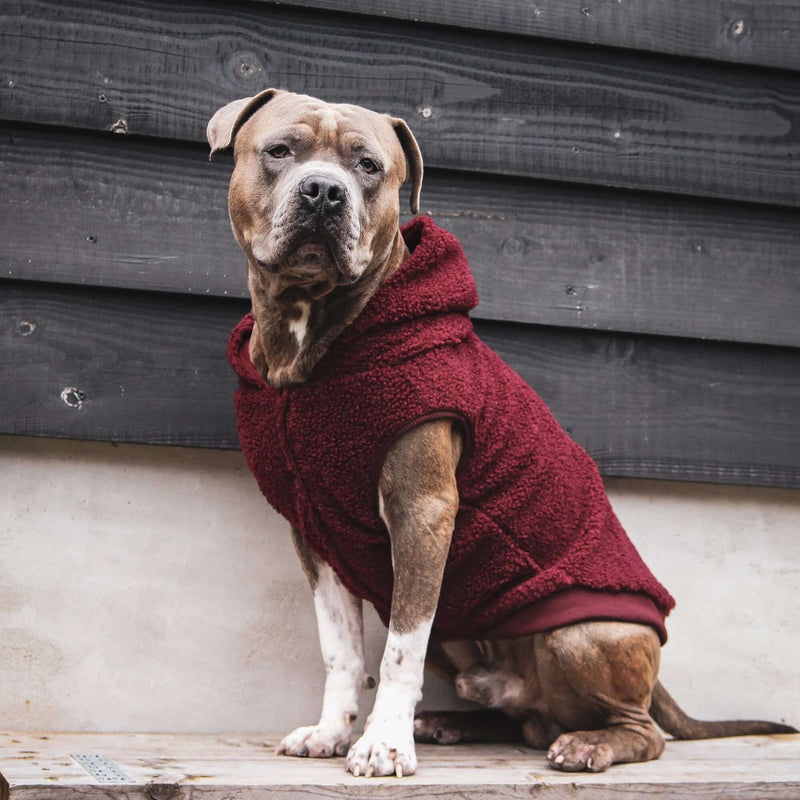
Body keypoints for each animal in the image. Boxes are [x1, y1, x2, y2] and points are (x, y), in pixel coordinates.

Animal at [206, 90, 792, 780]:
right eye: (279, 151)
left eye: (368, 166)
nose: (324, 191)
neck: (311, 335)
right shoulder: (315, 534)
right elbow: (341, 651)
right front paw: (331, 731)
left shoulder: (422, 513)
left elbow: (398, 651)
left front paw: (383, 743)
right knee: (524, 718)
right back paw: (452, 722)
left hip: (582, 634)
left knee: (640, 731)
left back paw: (588, 744)